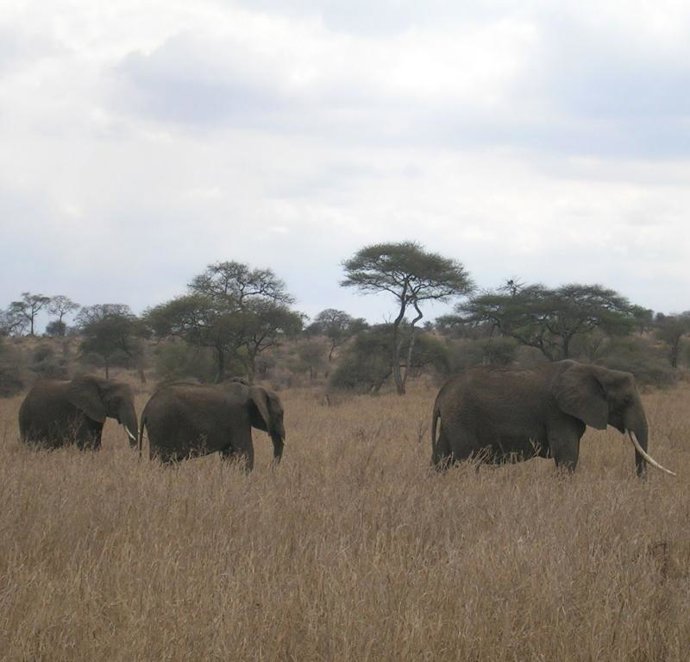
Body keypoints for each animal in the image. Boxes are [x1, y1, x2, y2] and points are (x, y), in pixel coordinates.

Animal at [138, 381, 285, 470]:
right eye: (280, 415)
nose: (271, 467)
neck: (250, 389)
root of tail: (146, 409)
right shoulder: (239, 418)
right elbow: (245, 451)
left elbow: (228, 454)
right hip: (161, 426)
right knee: (161, 458)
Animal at [431, 360, 675, 477]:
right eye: (625, 400)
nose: (641, 483)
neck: (596, 370)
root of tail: (441, 394)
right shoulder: (557, 411)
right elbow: (567, 453)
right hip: (462, 418)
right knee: (466, 459)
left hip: (452, 420)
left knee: (442, 456)